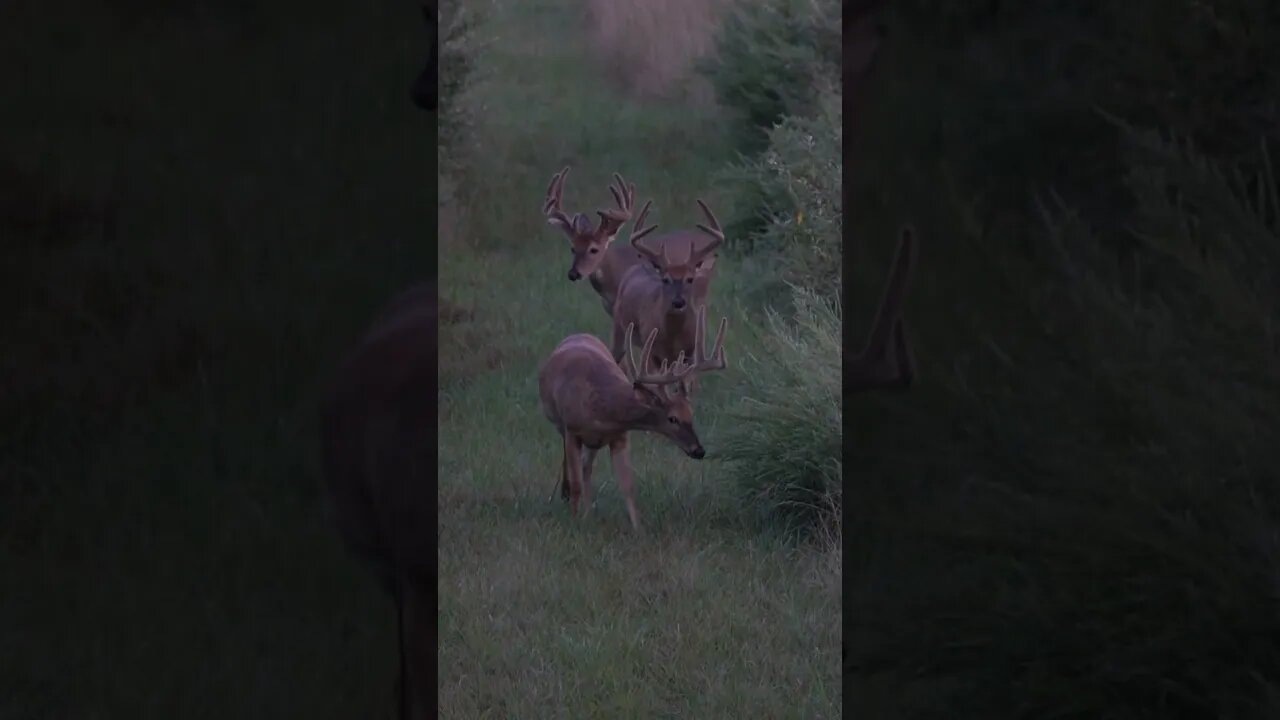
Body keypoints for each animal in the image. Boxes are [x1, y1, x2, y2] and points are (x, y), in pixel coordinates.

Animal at [538, 305, 729, 530]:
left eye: (691, 413)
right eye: (672, 418)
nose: (699, 450)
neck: (601, 410)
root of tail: (578, 334)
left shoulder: (620, 436)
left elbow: (628, 485)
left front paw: (639, 528)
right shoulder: (572, 430)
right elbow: (576, 483)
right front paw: (574, 522)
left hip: (593, 443)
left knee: (586, 467)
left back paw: (588, 512)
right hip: (559, 424)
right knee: (570, 464)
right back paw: (569, 498)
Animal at [610, 198, 725, 393]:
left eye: (690, 278)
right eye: (665, 279)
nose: (678, 302)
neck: (674, 338)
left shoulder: (690, 353)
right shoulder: (653, 350)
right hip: (620, 330)